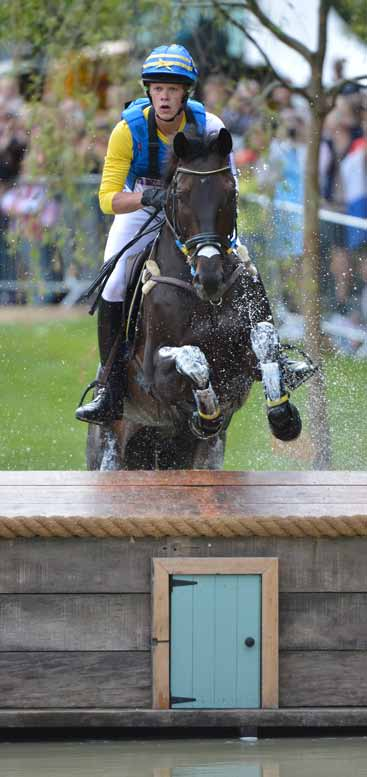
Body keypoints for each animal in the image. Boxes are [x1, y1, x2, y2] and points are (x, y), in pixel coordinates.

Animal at [87, 128, 300, 470]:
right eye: (180, 195)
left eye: (231, 193)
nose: (210, 277)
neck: (206, 300)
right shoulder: (154, 375)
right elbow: (192, 358)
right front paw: (206, 415)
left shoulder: (243, 360)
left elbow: (264, 342)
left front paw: (284, 417)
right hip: (110, 448)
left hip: (204, 455)